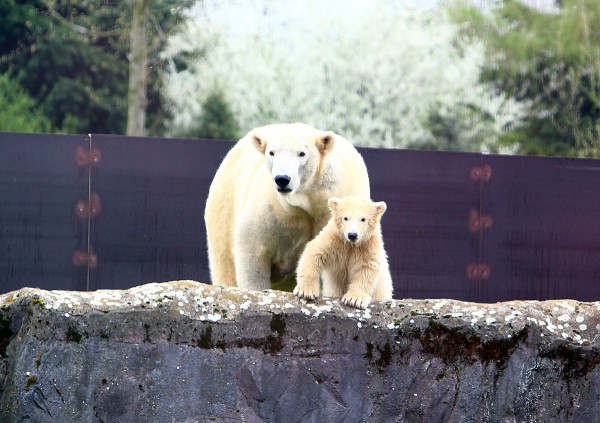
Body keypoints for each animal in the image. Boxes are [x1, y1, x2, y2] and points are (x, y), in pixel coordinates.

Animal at [205, 121, 370, 290]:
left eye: (302, 153)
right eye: (272, 152)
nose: (282, 179)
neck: (308, 201)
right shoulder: (273, 211)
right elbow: (253, 254)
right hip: (224, 214)